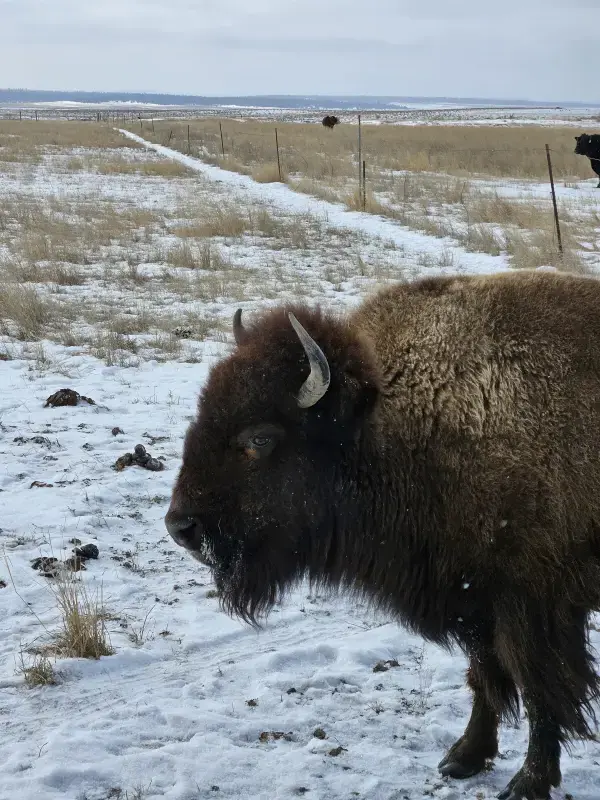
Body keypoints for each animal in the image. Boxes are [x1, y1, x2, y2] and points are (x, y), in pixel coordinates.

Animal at [165, 272, 600, 796]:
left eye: (259, 438)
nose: (181, 527)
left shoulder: (531, 607)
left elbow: (539, 690)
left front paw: (529, 781)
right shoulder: (471, 600)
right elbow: (484, 676)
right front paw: (463, 757)